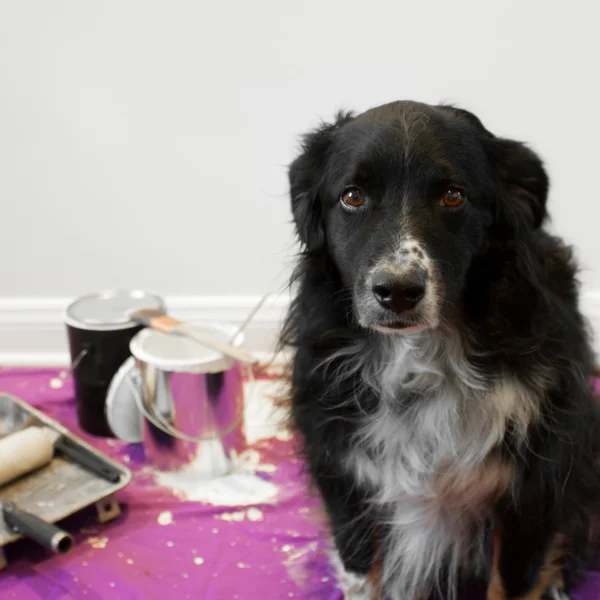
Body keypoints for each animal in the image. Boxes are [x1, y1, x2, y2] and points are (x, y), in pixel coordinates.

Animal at [280, 101, 600, 596]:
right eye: (352, 196)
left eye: (453, 196)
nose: (397, 291)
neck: (419, 356)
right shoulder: (346, 479)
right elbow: (361, 572)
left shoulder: (533, 496)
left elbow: (513, 582)